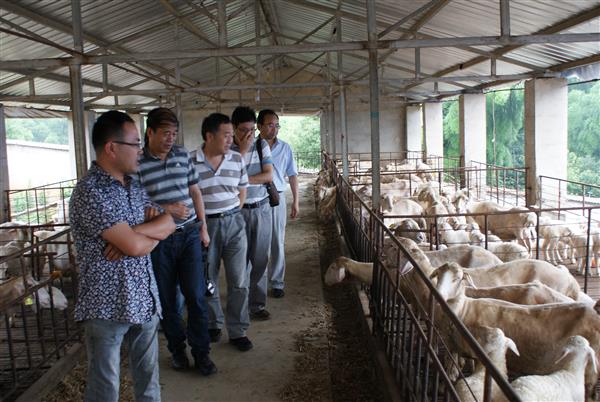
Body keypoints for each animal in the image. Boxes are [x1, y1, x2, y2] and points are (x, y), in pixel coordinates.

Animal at [432, 262, 600, 399]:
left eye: (457, 278)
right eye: (438, 274)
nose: (438, 293)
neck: (464, 308)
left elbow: (452, 368)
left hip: (591, 371)